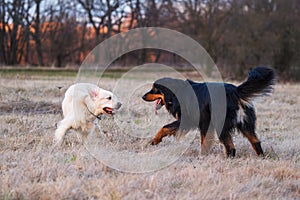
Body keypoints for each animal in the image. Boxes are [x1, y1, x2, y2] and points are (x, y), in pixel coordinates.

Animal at [142, 66, 276, 157]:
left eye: (154, 89)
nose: (142, 97)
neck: (175, 93)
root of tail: (235, 91)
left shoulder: (190, 120)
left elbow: (165, 127)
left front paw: (155, 140)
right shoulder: (205, 124)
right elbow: (205, 141)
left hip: (222, 124)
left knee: (231, 147)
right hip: (246, 124)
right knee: (255, 142)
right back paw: (261, 157)